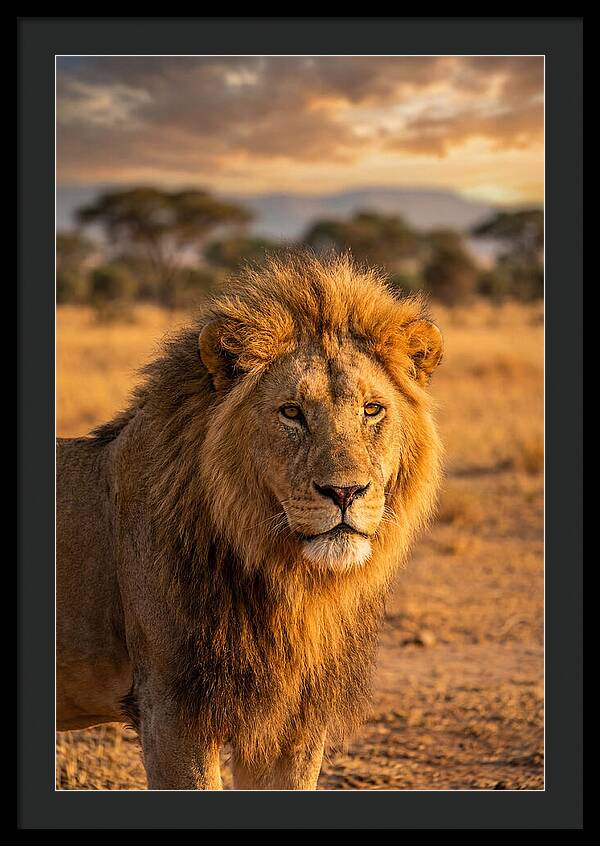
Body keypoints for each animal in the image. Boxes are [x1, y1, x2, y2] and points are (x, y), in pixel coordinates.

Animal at [56, 252, 443, 790]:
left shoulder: (293, 722)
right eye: (291, 412)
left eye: (372, 409)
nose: (344, 492)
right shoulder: (171, 710)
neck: (290, 583)